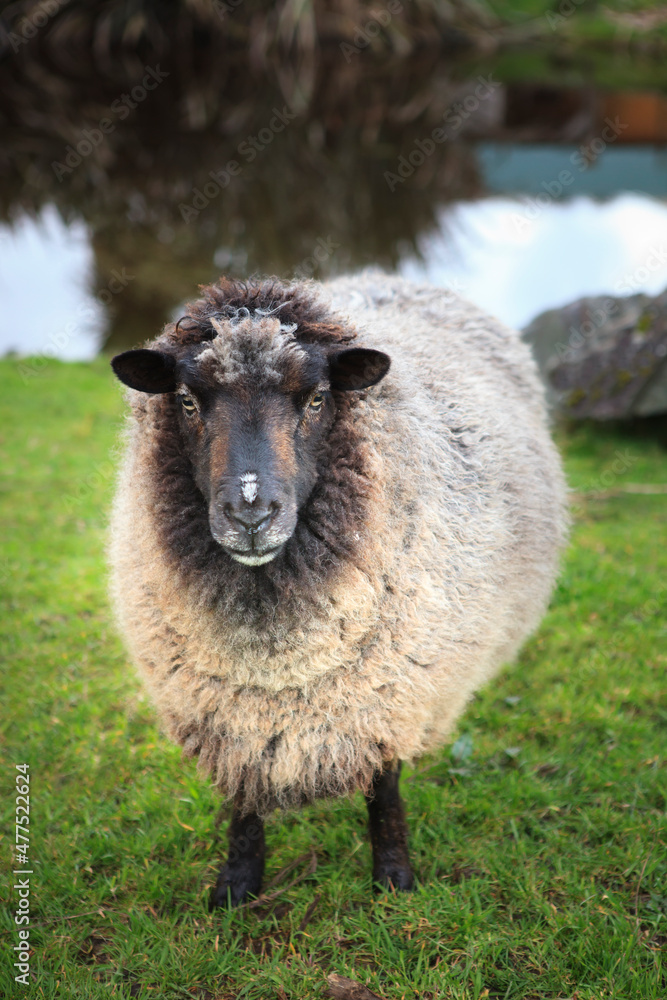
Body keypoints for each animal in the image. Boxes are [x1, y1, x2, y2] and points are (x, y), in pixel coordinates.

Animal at [109, 272, 568, 908]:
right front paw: (236, 886)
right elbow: (244, 797)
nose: (250, 515)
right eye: (187, 401)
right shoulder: (230, 709)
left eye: (317, 399)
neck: (275, 652)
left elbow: (385, 785)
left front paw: (394, 879)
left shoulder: (390, 689)